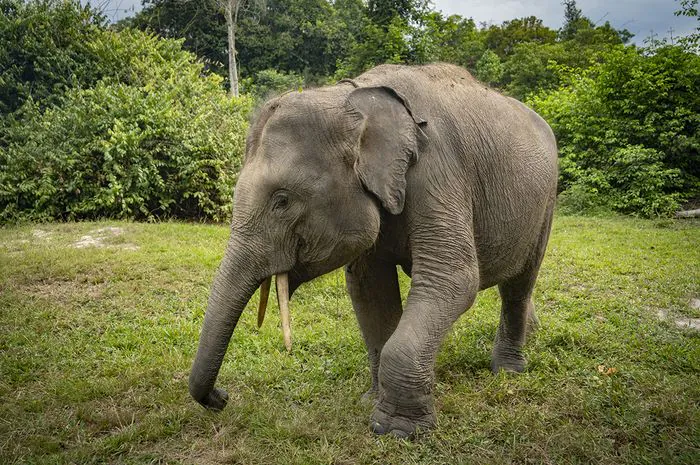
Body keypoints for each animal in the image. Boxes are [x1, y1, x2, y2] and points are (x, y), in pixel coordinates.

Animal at [189, 63, 560, 436]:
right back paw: (533, 330)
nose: (222, 397)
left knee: (519, 283)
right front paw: (373, 401)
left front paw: (397, 431)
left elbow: (452, 278)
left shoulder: (439, 171)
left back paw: (509, 371)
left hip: (546, 203)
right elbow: (370, 289)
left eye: (282, 201)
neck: (351, 97)